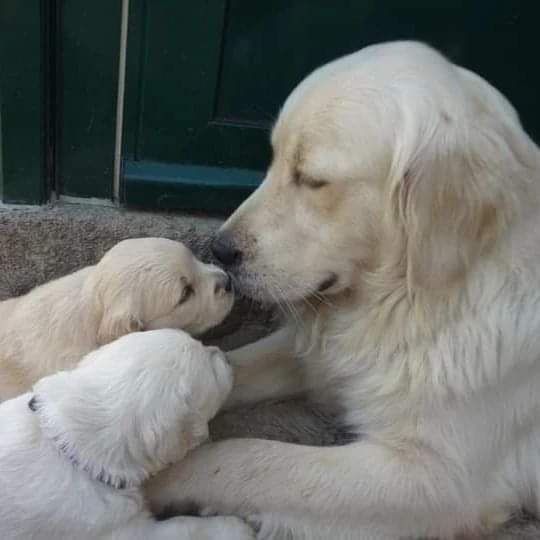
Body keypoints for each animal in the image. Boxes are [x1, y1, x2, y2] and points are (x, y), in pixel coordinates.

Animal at [147, 43, 540, 540]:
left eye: (312, 179)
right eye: (273, 159)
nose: (219, 250)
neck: (411, 302)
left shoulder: (436, 478)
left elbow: (255, 459)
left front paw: (162, 478)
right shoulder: (319, 356)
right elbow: (227, 365)